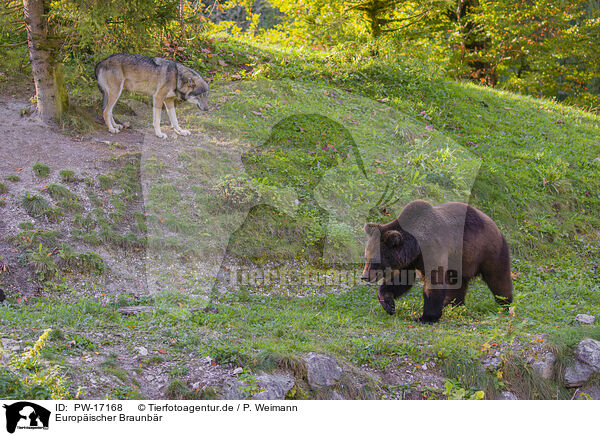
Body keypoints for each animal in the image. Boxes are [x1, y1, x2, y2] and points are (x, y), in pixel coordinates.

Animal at [360, 199, 510, 322]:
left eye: (375, 260)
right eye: (366, 257)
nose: (364, 276)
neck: (416, 246)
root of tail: (495, 225)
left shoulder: (433, 248)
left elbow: (434, 281)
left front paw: (425, 317)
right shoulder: (408, 260)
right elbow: (401, 279)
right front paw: (388, 303)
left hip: (487, 250)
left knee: (498, 278)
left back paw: (505, 304)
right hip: (462, 260)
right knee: (457, 282)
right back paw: (452, 304)